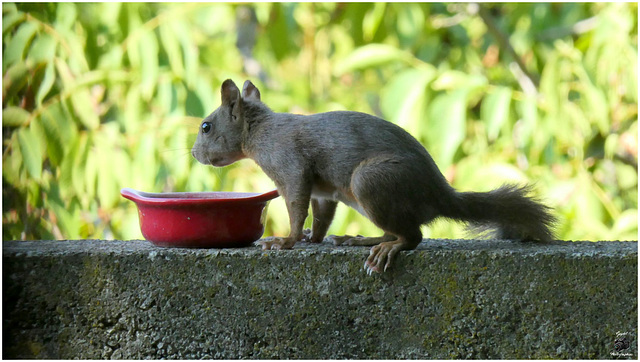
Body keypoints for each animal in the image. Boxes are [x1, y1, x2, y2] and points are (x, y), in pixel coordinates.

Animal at [190, 78, 556, 272]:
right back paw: (360, 239)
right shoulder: (324, 192)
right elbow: (321, 217)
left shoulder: (291, 166)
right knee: (397, 230)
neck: (260, 130)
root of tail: (440, 195)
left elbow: (295, 206)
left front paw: (287, 241)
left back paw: (385, 249)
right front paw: (312, 238)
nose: (193, 154)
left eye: (206, 127)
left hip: (369, 182)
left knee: (412, 236)